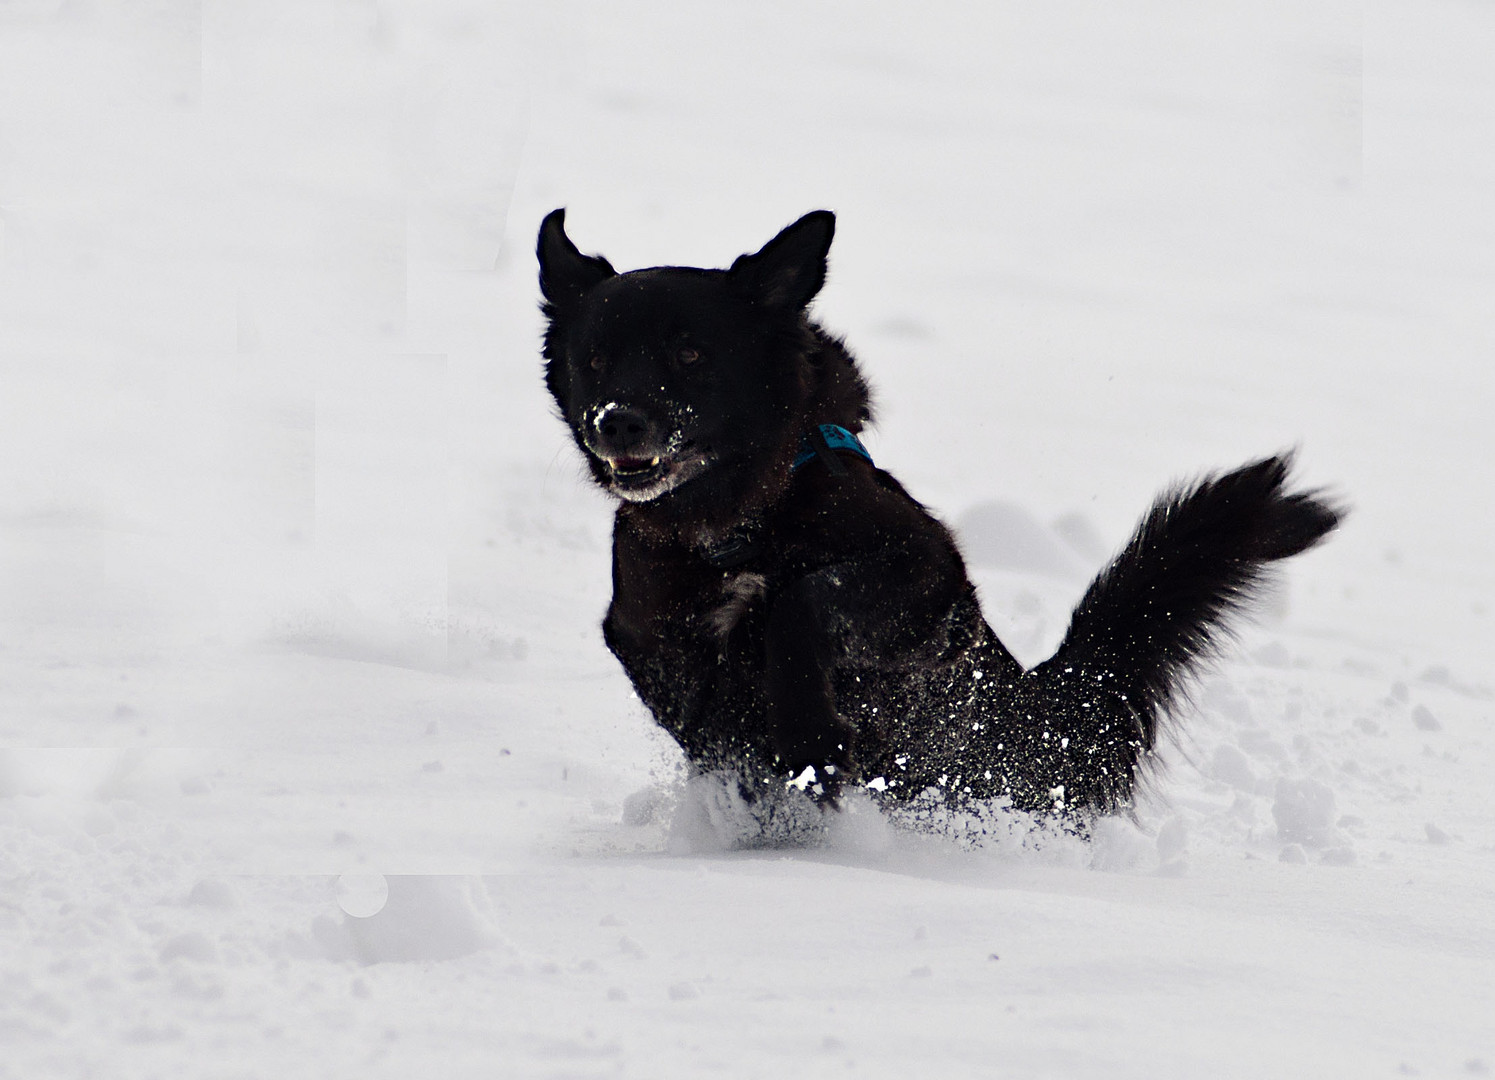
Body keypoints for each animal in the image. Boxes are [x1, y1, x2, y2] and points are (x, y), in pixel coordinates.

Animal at [541, 207, 1345, 813]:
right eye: (595, 357)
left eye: (691, 355)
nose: (616, 422)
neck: (737, 525)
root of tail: (1043, 715)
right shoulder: (639, 618)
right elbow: (684, 690)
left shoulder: (927, 578)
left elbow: (803, 601)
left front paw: (807, 744)